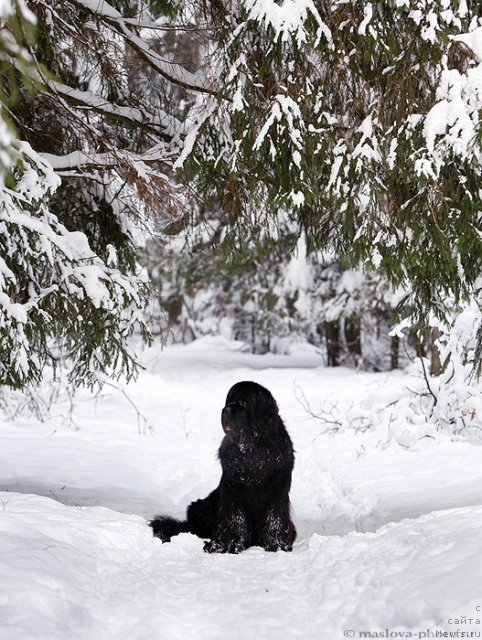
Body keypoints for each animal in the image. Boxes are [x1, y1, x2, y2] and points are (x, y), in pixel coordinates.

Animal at [151, 380, 296, 556]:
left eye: (243, 403)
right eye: (228, 402)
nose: (225, 410)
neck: (252, 449)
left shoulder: (277, 490)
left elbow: (275, 517)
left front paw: (277, 545)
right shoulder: (232, 490)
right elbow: (234, 518)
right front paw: (229, 544)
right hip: (199, 507)